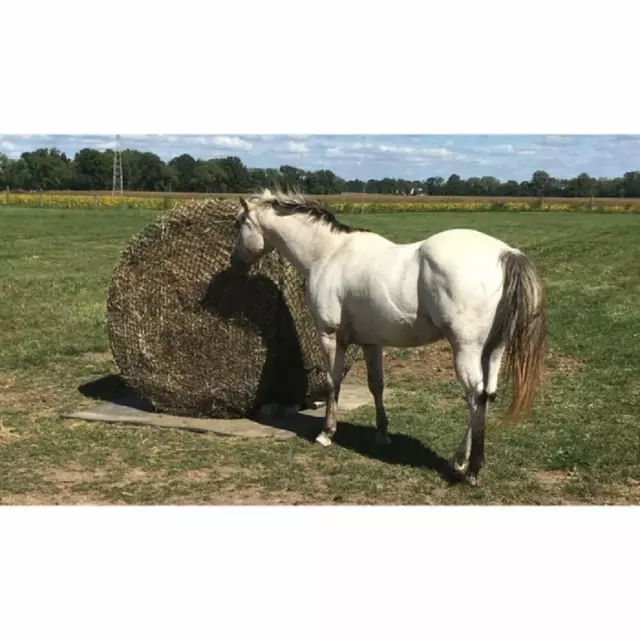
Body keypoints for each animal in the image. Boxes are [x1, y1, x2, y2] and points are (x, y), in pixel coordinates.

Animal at [229, 188, 544, 482]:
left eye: (239, 223)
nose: (234, 263)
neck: (329, 254)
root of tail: (505, 253)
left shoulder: (329, 336)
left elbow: (332, 382)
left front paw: (326, 433)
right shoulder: (372, 342)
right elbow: (376, 385)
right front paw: (382, 433)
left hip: (466, 350)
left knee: (475, 397)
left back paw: (471, 468)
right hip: (494, 350)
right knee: (487, 395)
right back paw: (461, 460)